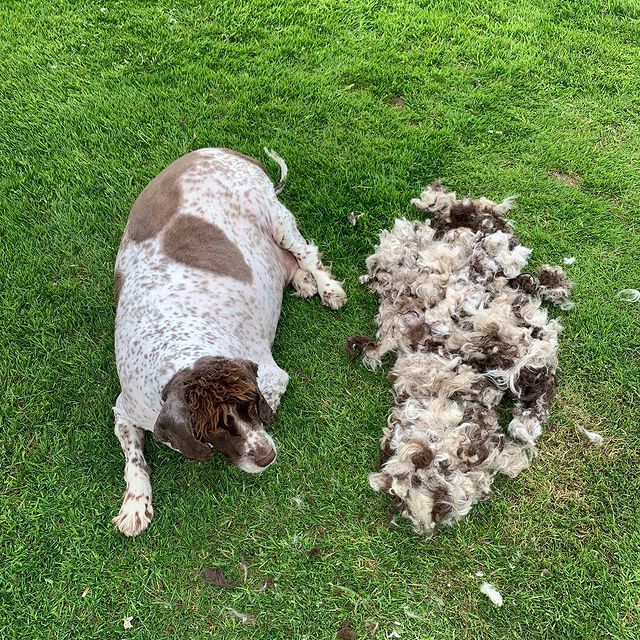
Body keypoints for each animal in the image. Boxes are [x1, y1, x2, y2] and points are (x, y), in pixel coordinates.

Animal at [114, 149, 344, 536]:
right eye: (215, 427)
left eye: (250, 405)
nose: (267, 457)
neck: (176, 352)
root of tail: (219, 150)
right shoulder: (124, 408)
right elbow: (134, 456)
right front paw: (135, 502)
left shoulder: (269, 377)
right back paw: (303, 281)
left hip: (277, 218)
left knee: (307, 252)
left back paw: (326, 287)